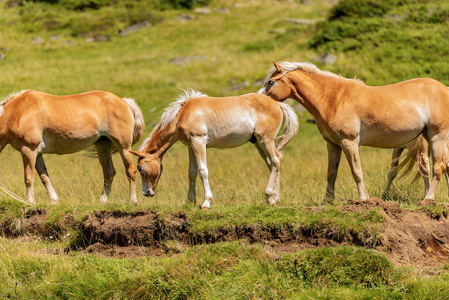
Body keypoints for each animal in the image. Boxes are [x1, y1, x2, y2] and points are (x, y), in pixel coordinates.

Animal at [0, 90, 144, 205]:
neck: (18, 112)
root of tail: (124, 101)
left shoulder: (28, 150)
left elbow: (28, 178)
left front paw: (30, 202)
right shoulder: (38, 154)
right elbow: (44, 177)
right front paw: (54, 200)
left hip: (123, 147)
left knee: (130, 170)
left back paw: (132, 200)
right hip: (103, 146)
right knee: (109, 172)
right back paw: (103, 200)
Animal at [130, 89, 298, 209]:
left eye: (140, 168)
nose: (146, 193)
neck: (183, 114)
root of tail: (277, 104)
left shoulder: (199, 141)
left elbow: (203, 171)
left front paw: (206, 202)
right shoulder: (191, 146)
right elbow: (192, 172)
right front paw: (189, 201)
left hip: (265, 140)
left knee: (276, 160)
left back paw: (270, 196)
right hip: (258, 143)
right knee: (272, 164)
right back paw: (275, 199)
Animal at [258, 62, 448, 205]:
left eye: (270, 82)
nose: (257, 99)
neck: (332, 98)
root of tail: (444, 89)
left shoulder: (349, 142)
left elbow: (356, 171)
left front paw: (363, 198)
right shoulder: (333, 144)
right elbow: (331, 174)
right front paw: (327, 201)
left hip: (436, 137)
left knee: (438, 167)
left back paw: (428, 199)